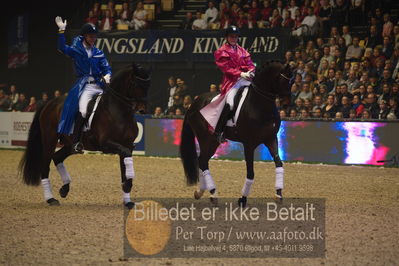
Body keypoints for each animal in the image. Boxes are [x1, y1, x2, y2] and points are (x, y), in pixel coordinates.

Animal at [18, 62, 150, 208]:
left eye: (148, 85)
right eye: (134, 83)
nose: (142, 109)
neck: (118, 111)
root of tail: (50, 103)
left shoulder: (127, 145)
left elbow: (124, 170)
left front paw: (128, 200)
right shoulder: (106, 144)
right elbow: (125, 163)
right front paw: (127, 187)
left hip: (69, 144)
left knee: (57, 157)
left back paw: (64, 189)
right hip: (49, 140)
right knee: (45, 166)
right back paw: (51, 199)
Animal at [181, 61, 294, 207]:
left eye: (292, 81)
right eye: (283, 79)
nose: (287, 104)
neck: (259, 105)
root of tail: (193, 103)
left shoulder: (271, 139)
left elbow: (279, 164)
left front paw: (278, 194)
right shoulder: (249, 144)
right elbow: (250, 173)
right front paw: (243, 199)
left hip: (212, 142)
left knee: (203, 161)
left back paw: (201, 192)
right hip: (205, 138)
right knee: (202, 161)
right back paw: (213, 193)